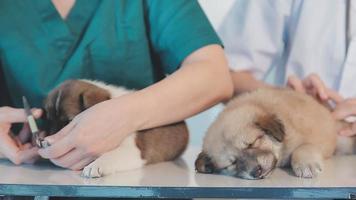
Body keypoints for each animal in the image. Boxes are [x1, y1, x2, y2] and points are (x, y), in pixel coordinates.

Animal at [196, 87, 354, 180]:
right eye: (232, 163)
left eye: (252, 143)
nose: (256, 171)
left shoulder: (317, 138)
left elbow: (303, 148)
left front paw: (306, 165)